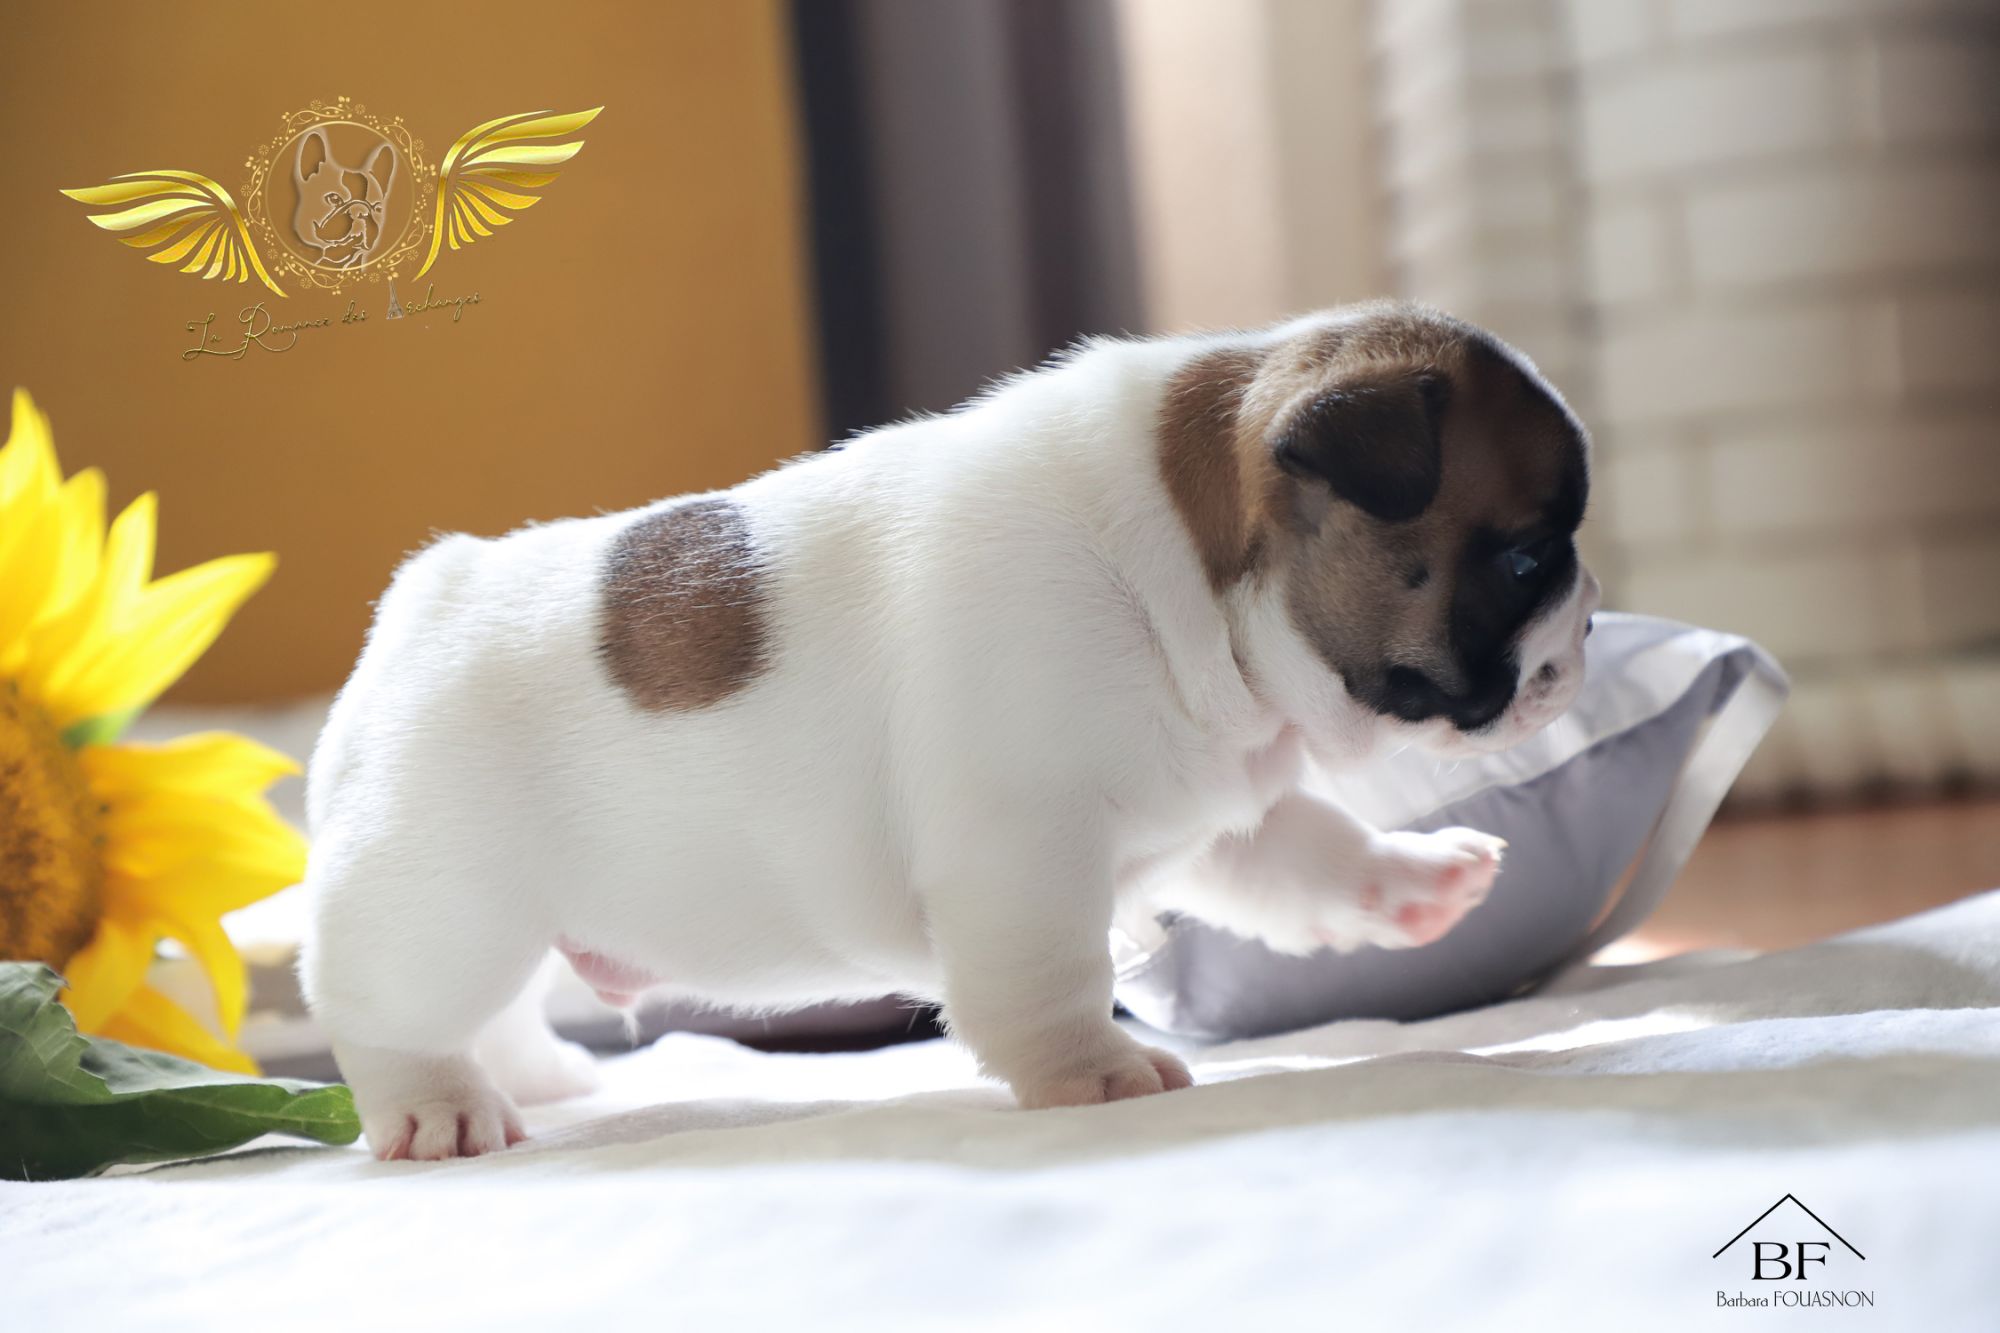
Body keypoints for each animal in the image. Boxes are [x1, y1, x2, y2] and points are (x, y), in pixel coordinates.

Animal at [300, 302, 1599, 1159]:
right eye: (1525, 557)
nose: (1587, 618)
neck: (1183, 573)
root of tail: (420, 605)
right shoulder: (1025, 847)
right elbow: (1053, 975)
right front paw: (1090, 1074)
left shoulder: (1216, 803)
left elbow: (1307, 849)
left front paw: (1412, 880)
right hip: (443, 901)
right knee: (393, 1007)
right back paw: (437, 1108)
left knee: (501, 1003)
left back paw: (543, 1077)